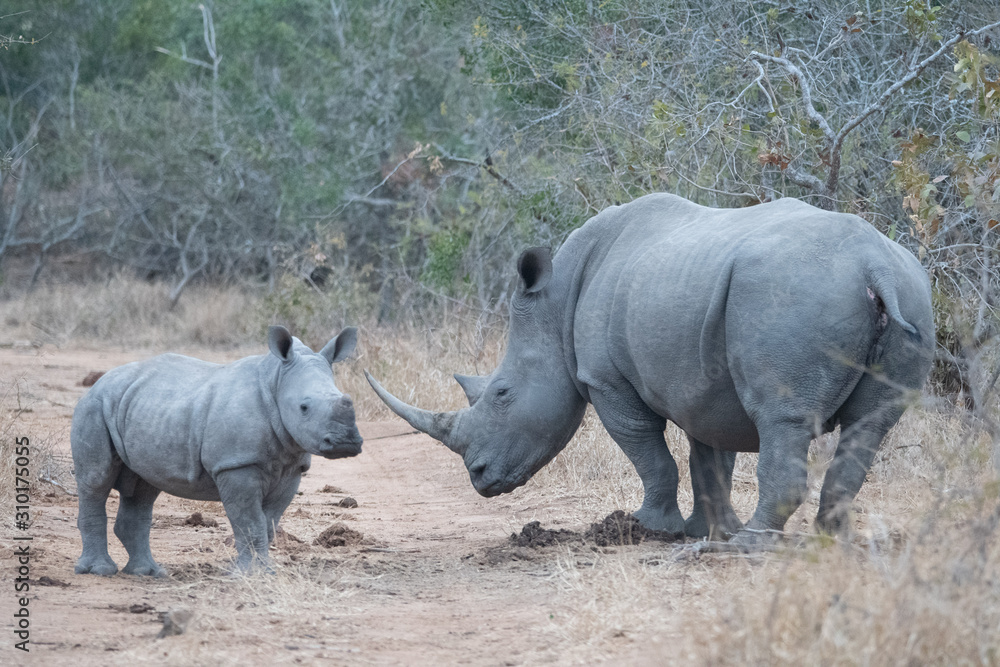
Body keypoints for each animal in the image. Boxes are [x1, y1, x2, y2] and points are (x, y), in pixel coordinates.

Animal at [72, 326, 361, 576]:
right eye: (304, 407)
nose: (346, 442)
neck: (277, 381)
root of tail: (101, 381)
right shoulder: (235, 464)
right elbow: (250, 522)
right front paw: (249, 575)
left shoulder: (292, 467)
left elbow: (268, 522)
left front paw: (264, 572)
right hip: (95, 407)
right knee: (96, 480)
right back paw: (99, 570)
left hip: (141, 406)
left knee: (144, 487)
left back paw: (149, 573)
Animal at [367, 193, 934, 546]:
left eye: (502, 393)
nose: (479, 477)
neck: (556, 304)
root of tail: (872, 265)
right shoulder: (705, 384)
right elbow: (709, 456)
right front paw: (706, 529)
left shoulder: (606, 380)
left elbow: (650, 452)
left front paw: (649, 529)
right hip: (909, 289)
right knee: (870, 425)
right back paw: (828, 541)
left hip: (792, 294)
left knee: (783, 418)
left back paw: (751, 547)